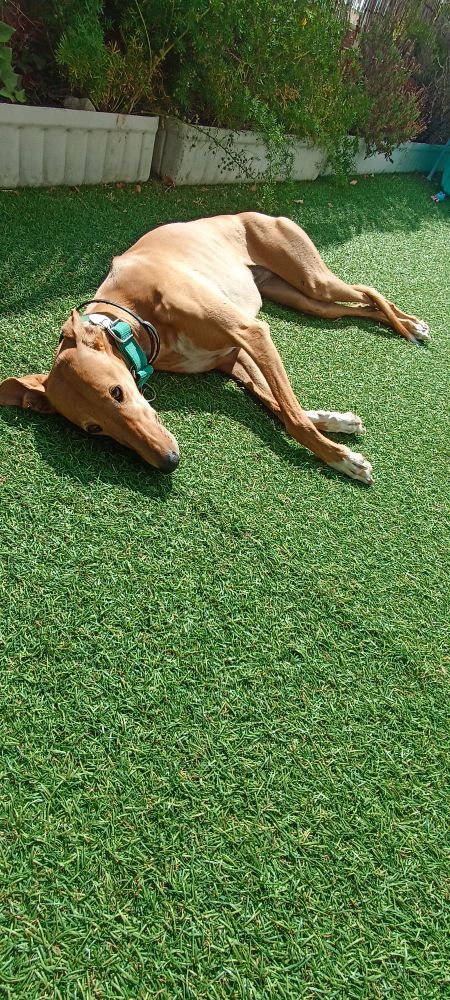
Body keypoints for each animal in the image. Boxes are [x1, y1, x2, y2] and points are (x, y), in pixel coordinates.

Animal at [0, 212, 430, 483]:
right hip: (304, 300)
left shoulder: (251, 332)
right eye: (94, 428)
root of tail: (256, 213)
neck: (130, 317)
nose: (168, 462)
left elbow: (292, 416)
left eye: (117, 392)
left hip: (312, 279)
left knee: (368, 290)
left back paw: (412, 327)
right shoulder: (232, 357)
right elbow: (278, 402)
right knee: (357, 306)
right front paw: (336, 422)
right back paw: (406, 325)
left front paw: (343, 460)